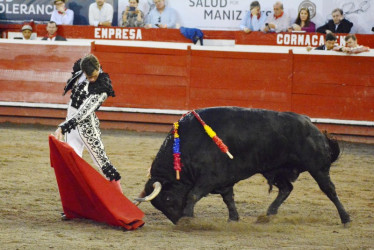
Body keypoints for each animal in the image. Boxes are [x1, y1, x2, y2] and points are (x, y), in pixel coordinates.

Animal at [141, 107, 350, 225]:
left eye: (168, 198)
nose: (177, 222)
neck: (187, 146)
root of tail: (313, 127)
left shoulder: (209, 179)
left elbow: (193, 194)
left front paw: (187, 218)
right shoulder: (223, 180)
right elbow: (229, 199)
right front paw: (233, 218)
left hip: (317, 168)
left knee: (329, 190)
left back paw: (346, 218)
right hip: (275, 170)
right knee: (286, 188)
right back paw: (268, 214)